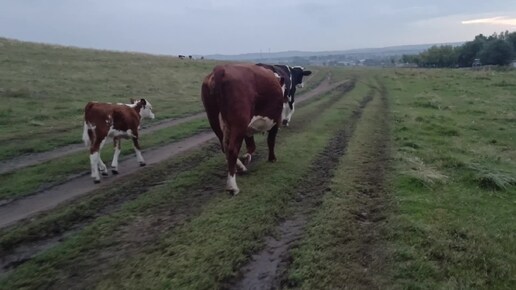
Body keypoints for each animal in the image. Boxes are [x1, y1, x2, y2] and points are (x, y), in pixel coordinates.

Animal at [201, 63, 284, 195]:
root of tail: (221, 69)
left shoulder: (246, 128)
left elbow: (251, 145)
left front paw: (246, 158)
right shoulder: (276, 120)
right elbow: (270, 141)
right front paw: (272, 158)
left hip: (213, 116)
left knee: (224, 145)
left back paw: (240, 167)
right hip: (239, 121)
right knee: (232, 149)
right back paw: (232, 186)